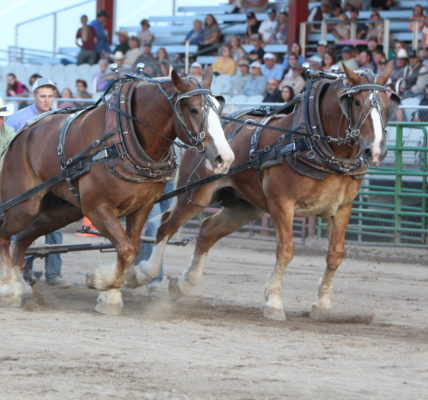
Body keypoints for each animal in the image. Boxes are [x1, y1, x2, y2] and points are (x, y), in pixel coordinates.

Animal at [0, 68, 234, 315]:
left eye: (218, 109)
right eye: (193, 109)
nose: (225, 158)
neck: (120, 140)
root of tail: (22, 133)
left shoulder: (141, 208)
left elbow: (130, 248)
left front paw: (108, 291)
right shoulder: (98, 208)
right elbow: (126, 249)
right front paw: (103, 285)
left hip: (61, 212)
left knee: (22, 240)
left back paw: (20, 284)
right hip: (24, 206)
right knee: (5, 234)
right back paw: (9, 288)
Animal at [126, 64, 400, 321]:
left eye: (388, 103)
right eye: (356, 101)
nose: (375, 150)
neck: (310, 141)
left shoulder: (342, 209)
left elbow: (335, 255)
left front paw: (322, 305)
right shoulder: (283, 204)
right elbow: (286, 250)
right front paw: (273, 303)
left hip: (245, 207)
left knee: (206, 231)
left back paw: (184, 283)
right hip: (195, 195)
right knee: (166, 226)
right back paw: (142, 274)